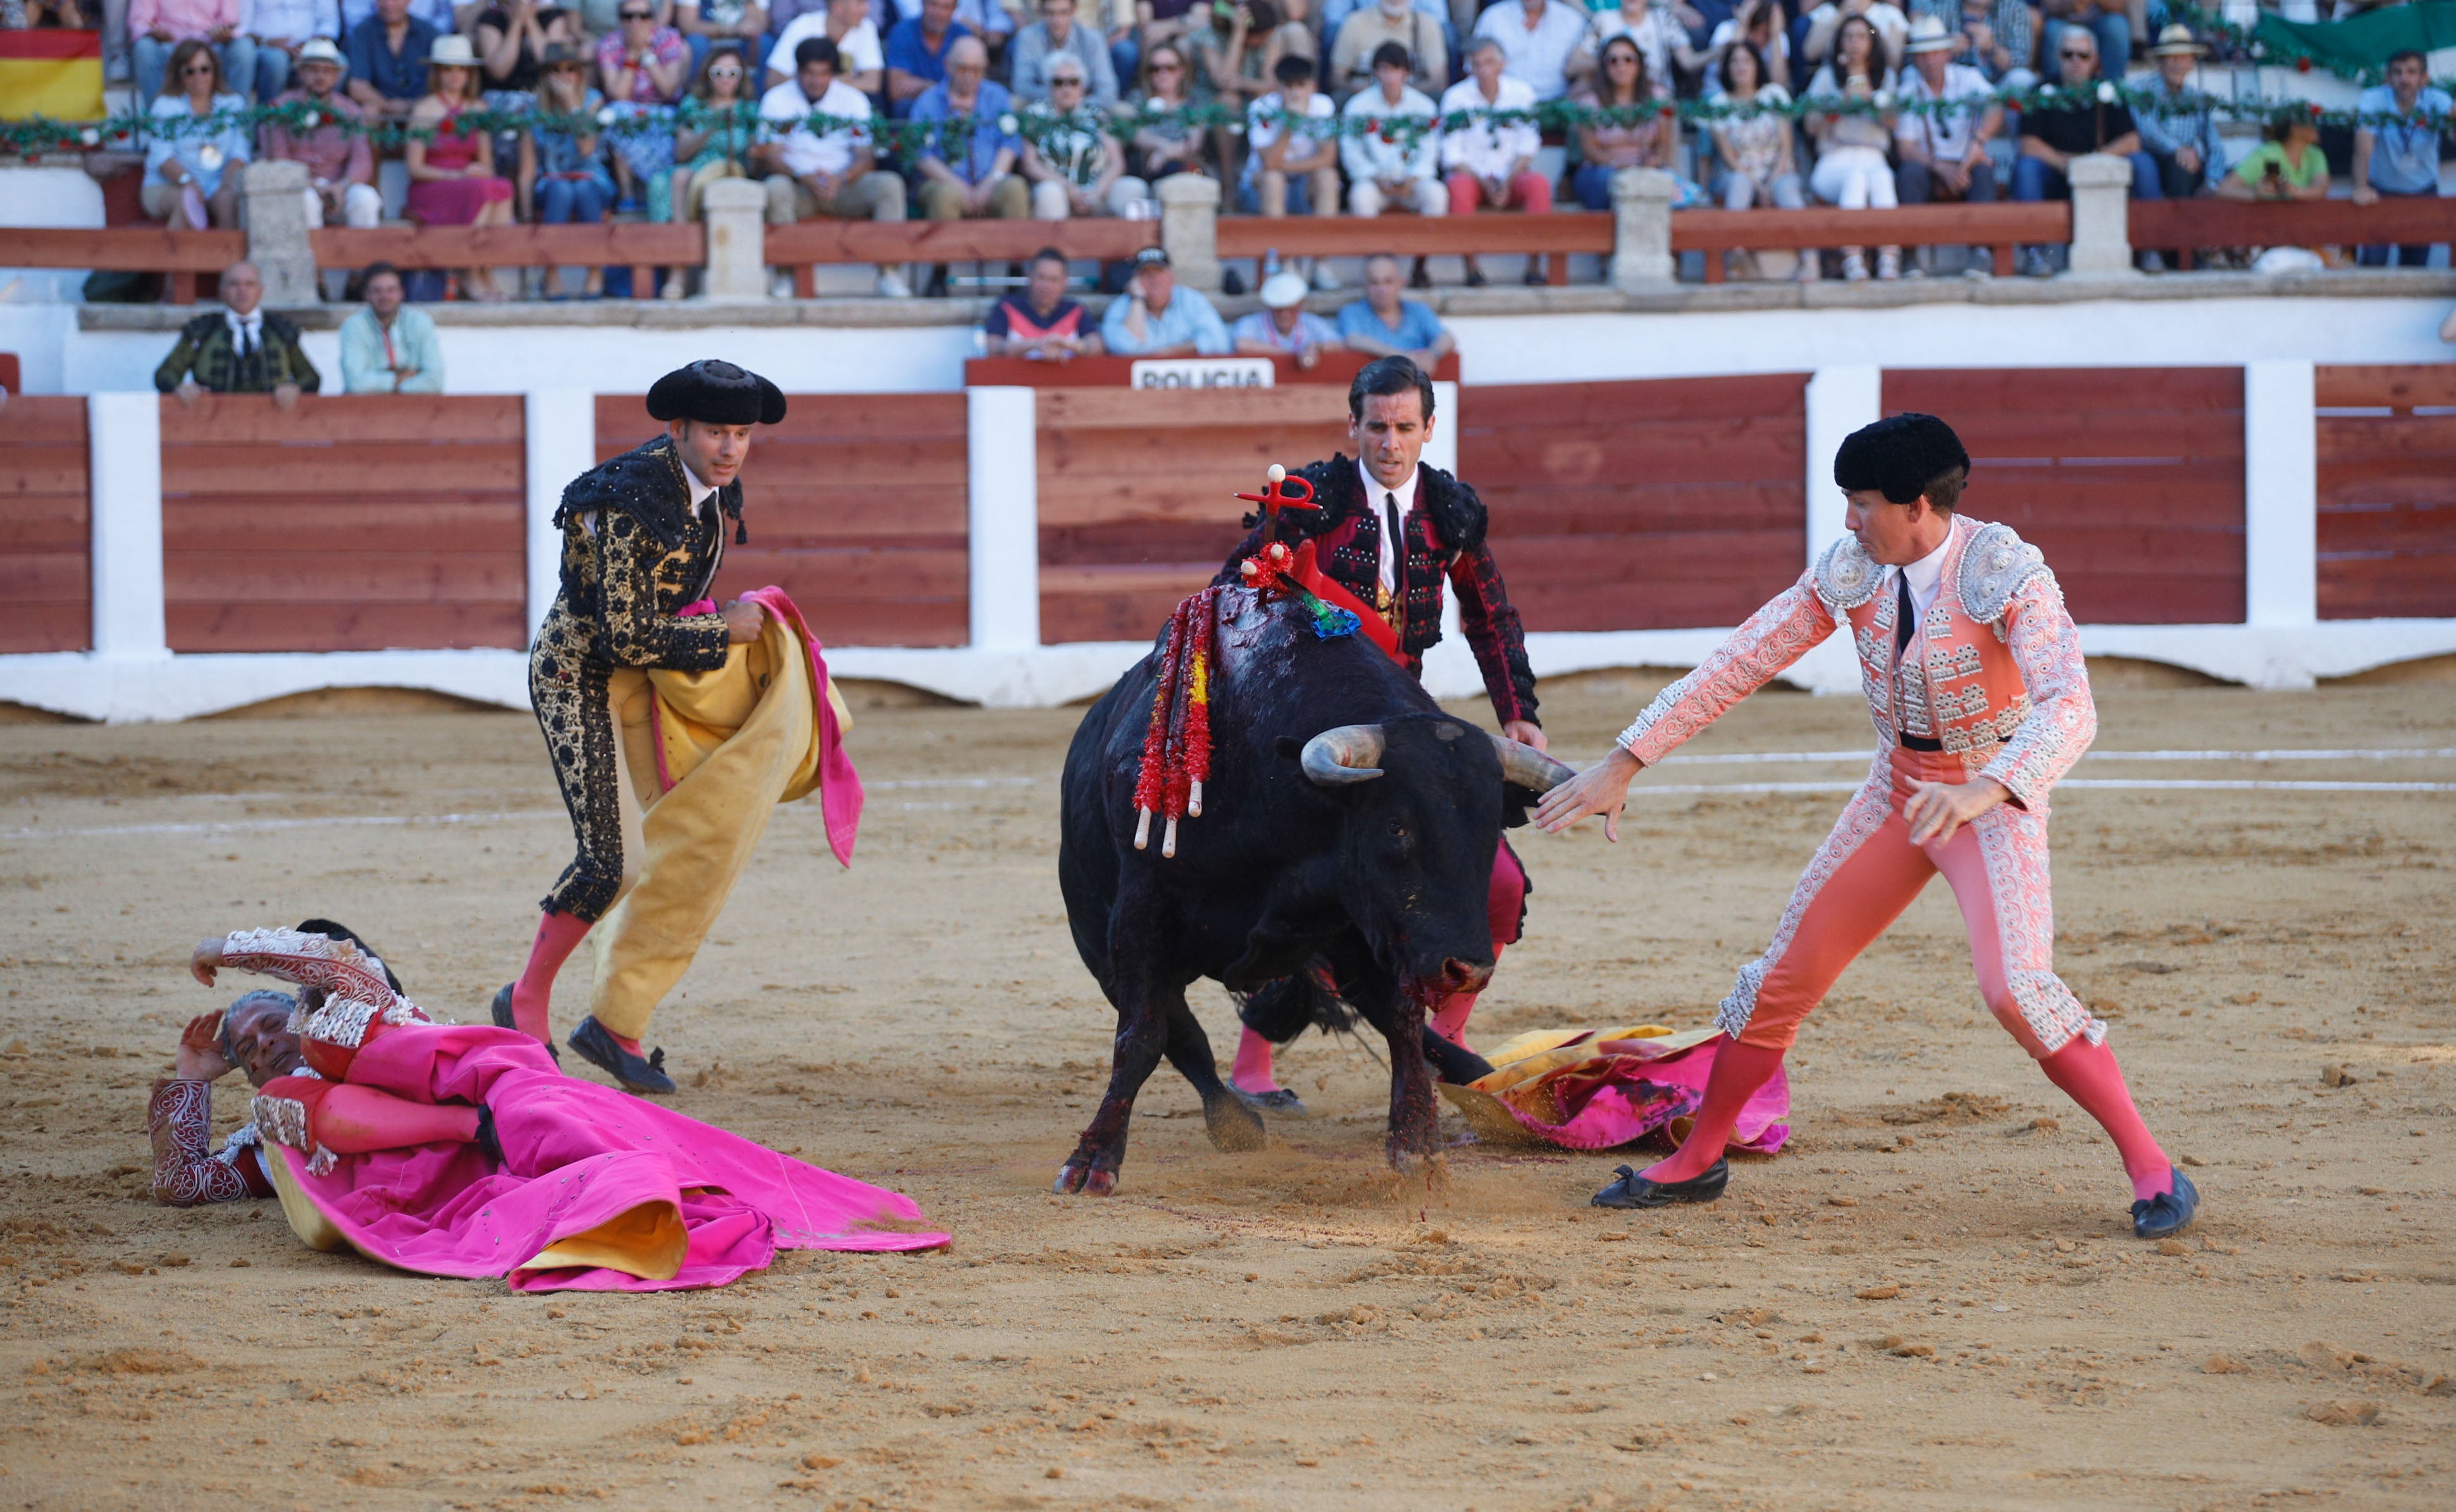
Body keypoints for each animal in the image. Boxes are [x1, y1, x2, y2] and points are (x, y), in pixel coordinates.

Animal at [1056, 586, 1572, 1193]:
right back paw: (1233, 1120)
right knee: (1178, 1031)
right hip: (1096, 939)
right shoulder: (1140, 913)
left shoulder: (1370, 927)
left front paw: (1418, 1146)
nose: (1467, 970)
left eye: (1493, 826)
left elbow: (1401, 1019)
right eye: (1395, 825)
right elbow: (1143, 1035)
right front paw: (1093, 1160)